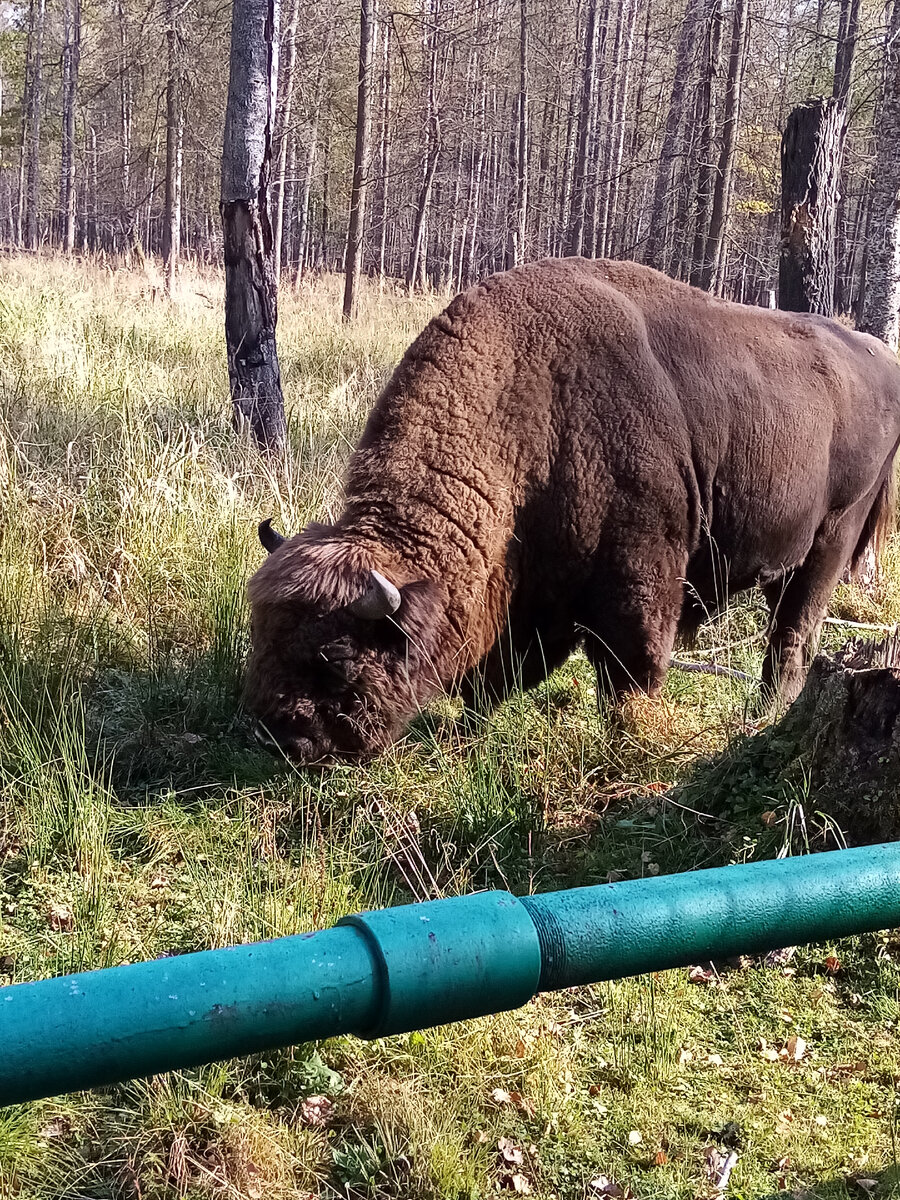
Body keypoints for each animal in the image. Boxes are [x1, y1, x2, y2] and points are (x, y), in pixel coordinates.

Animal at [247, 258, 900, 763]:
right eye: (262, 636)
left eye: (336, 657)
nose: (288, 739)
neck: (527, 410)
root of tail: (880, 356)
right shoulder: (535, 593)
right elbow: (500, 674)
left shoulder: (637, 581)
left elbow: (632, 672)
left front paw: (629, 739)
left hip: (831, 540)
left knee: (794, 634)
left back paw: (762, 714)